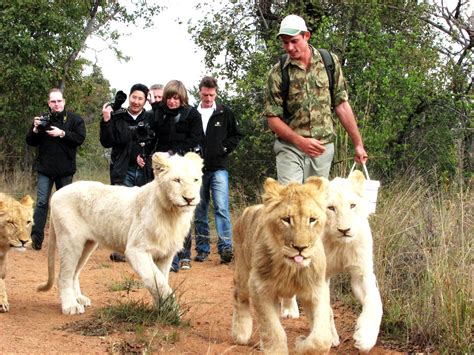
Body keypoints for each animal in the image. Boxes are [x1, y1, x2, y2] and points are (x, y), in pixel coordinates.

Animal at [35, 152, 202, 316]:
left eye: (196, 180)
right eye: (177, 180)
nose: (189, 199)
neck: (173, 214)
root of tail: (56, 193)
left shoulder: (165, 253)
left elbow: (161, 281)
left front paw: (162, 311)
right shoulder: (136, 250)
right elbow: (158, 282)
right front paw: (174, 311)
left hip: (87, 244)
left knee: (74, 273)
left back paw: (79, 298)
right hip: (71, 241)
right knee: (64, 275)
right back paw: (70, 306)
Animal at [231, 178, 332, 355]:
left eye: (312, 220)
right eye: (286, 219)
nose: (300, 248)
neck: (290, 269)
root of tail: (249, 209)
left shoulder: (316, 289)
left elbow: (321, 340)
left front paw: (300, 342)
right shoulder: (259, 287)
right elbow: (273, 329)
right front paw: (276, 349)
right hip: (244, 274)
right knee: (239, 295)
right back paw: (241, 334)